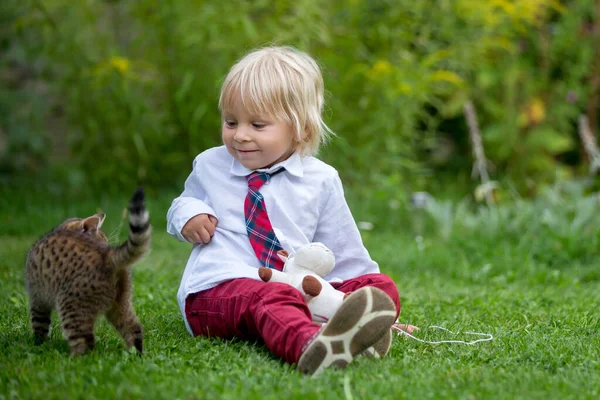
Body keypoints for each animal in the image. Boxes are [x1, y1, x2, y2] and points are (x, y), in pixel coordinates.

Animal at [25, 188, 151, 356]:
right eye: (102, 240)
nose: (106, 246)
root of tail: (108, 257)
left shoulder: (37, 296)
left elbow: (39, 324)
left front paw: (38, 344)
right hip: (120, 302)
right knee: (134, 328)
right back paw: (135, 355)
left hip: (71, 304)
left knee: (85, 341)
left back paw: (74, 358)